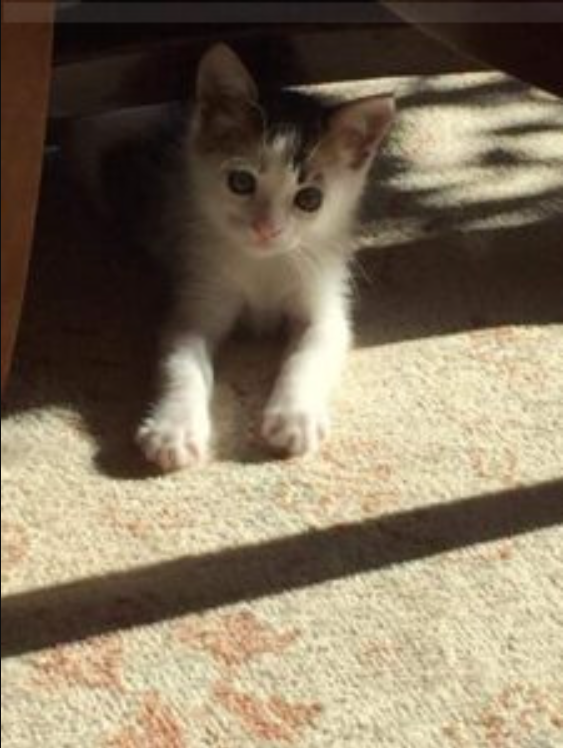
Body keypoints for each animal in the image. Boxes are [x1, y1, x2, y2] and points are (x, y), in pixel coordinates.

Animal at [72, 43, 394, 470]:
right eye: (241, 182)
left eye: (310, 199)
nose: (266, 228)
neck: (264, 263)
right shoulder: (198, 294)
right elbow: (181, 362)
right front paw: (174, 430)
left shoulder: (323, 295)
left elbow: (312, 351)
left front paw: (295, 418)